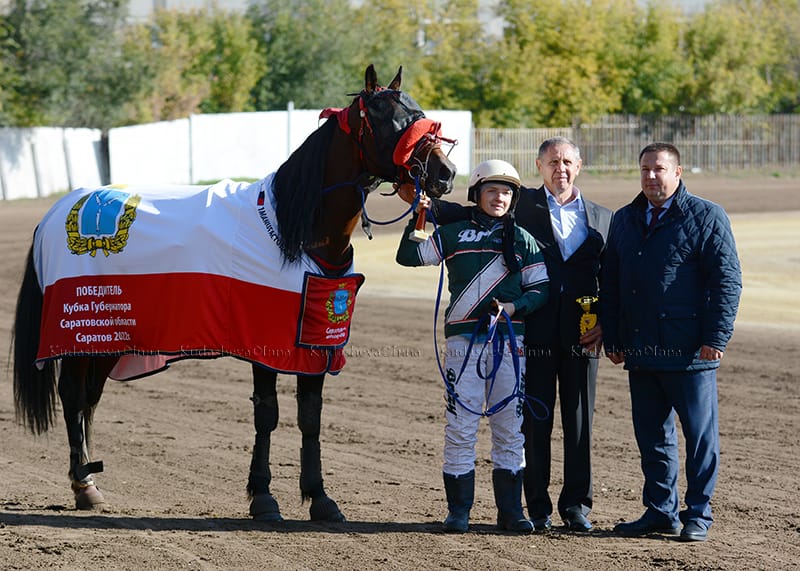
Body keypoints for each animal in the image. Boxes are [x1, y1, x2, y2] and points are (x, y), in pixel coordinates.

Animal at [9, 65, 456, 520]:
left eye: (420, 114)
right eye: (388, 119)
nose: (445, 173)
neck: (293, 233)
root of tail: (60, 209)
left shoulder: (314, 342)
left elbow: (310, 417)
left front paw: (320, 497)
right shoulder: (263, 343)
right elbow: (267, 414)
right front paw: (263, 496)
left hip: (109, 339)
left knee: (88, 399)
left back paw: (88, 478)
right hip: (77, 333)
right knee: (71, 397)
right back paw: (84, 485)